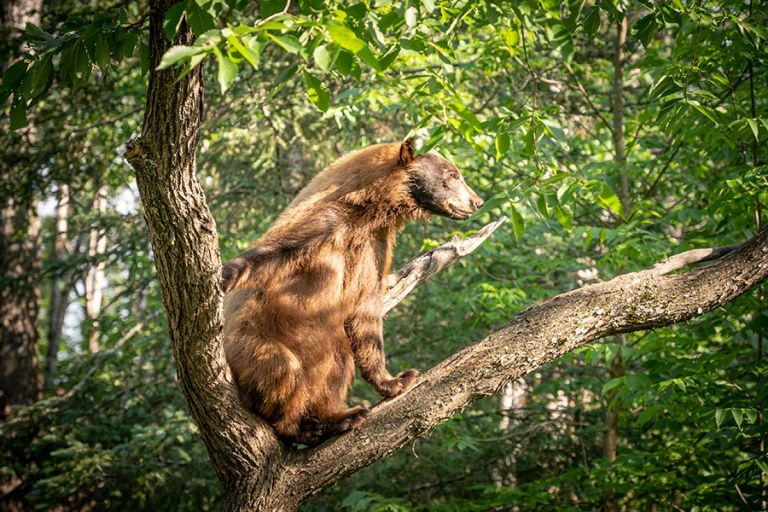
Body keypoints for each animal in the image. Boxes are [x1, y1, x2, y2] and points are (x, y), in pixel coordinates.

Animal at [221, 138, 484, 445]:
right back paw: (301, 426)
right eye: (453, 174)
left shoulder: (374, 247)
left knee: (337, 361)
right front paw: (223, 275)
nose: (477, 201)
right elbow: (270, 255)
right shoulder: (323, 224)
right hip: (253, 344)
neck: (368, 212)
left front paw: (395, 381)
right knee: (281, 369)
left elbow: (366, 311)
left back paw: (338, 416)